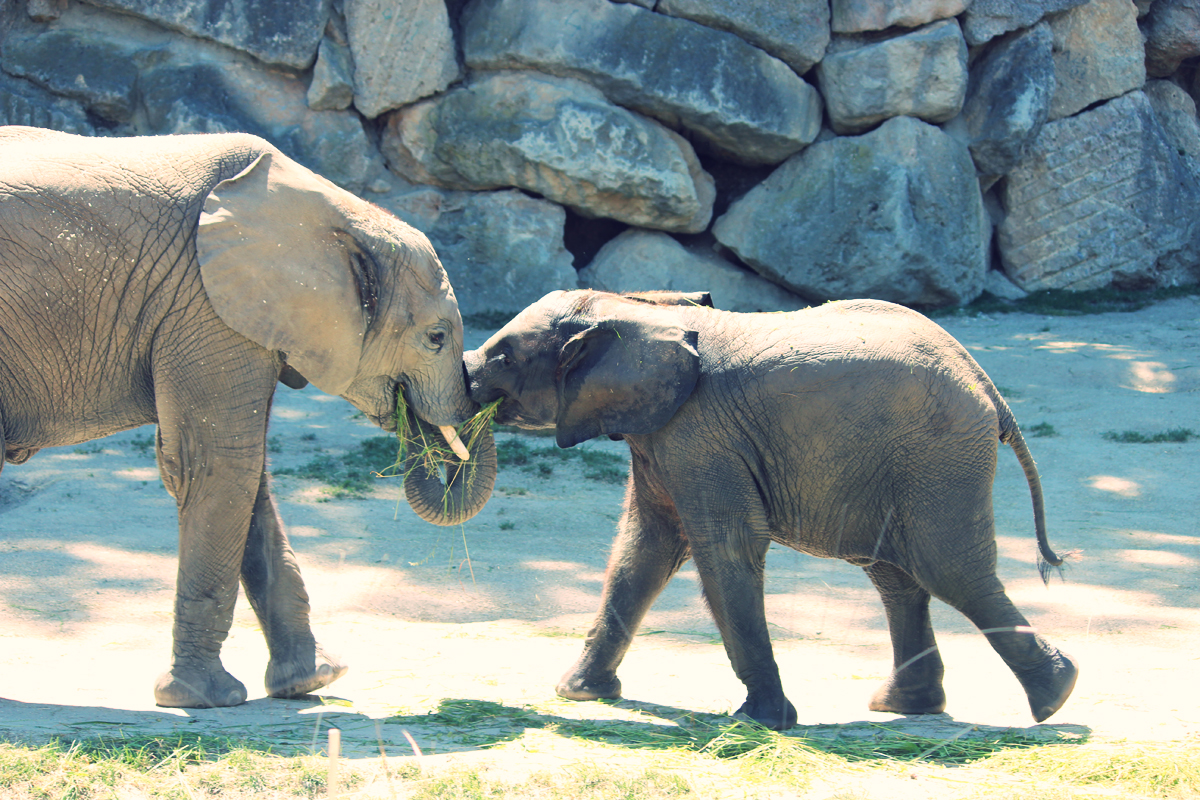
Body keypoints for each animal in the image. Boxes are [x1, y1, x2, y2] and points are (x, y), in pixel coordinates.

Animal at [465, 291, 1080, 729]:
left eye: (502, 357)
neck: (630, 308)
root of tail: (987, 385)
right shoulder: (663, 438)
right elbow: (641, 553)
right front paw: (577, 693)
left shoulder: (700, 436)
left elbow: (724, 549)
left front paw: (760, 723)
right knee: (896, 575)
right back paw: (907, 706)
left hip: (939, 457)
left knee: (949, 571)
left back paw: (1056, 696)